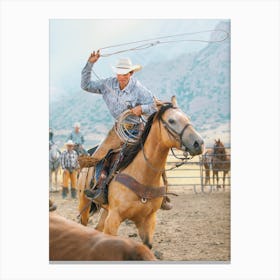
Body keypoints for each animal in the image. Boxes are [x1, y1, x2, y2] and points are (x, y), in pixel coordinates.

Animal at [77, 97, 203, 249]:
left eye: (187, 118)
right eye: (172, 120)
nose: (199, 143)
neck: (143, 176)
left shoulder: (148, 220)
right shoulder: (114, 218)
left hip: (106, 210)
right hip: (84, 204)